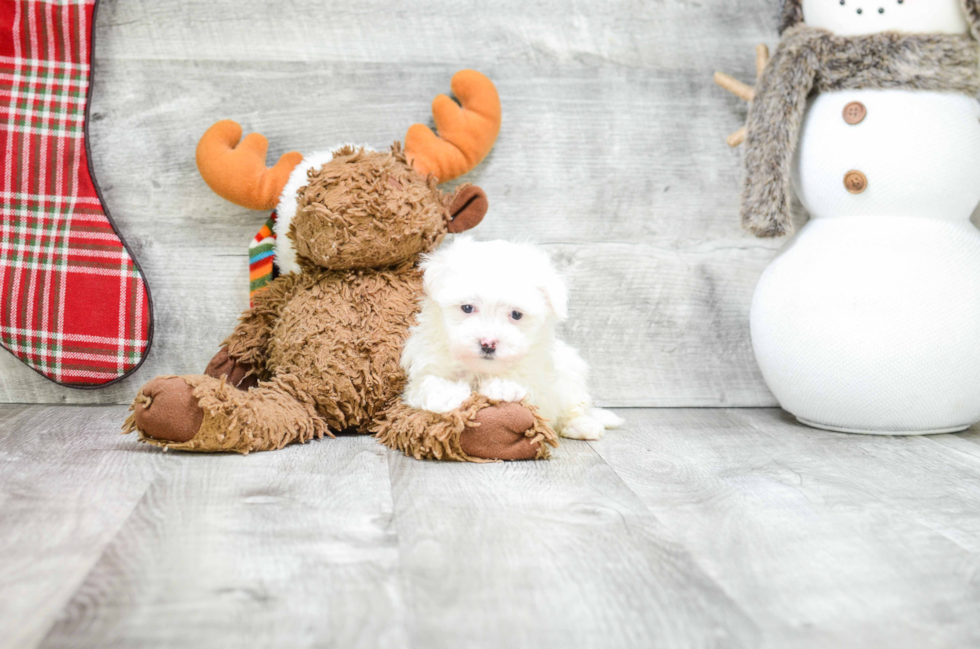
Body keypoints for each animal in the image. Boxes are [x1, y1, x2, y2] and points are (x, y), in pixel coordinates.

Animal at [402, 235, 624, 438]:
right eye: (467, 308)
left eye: (516, 314)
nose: (488, 343)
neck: (481, 369)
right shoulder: (427, 365)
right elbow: (428, 382)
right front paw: (446, 394)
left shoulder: (538, 379)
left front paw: (501, 387)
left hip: (571, 372)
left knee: (574, 405)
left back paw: (583, 425)